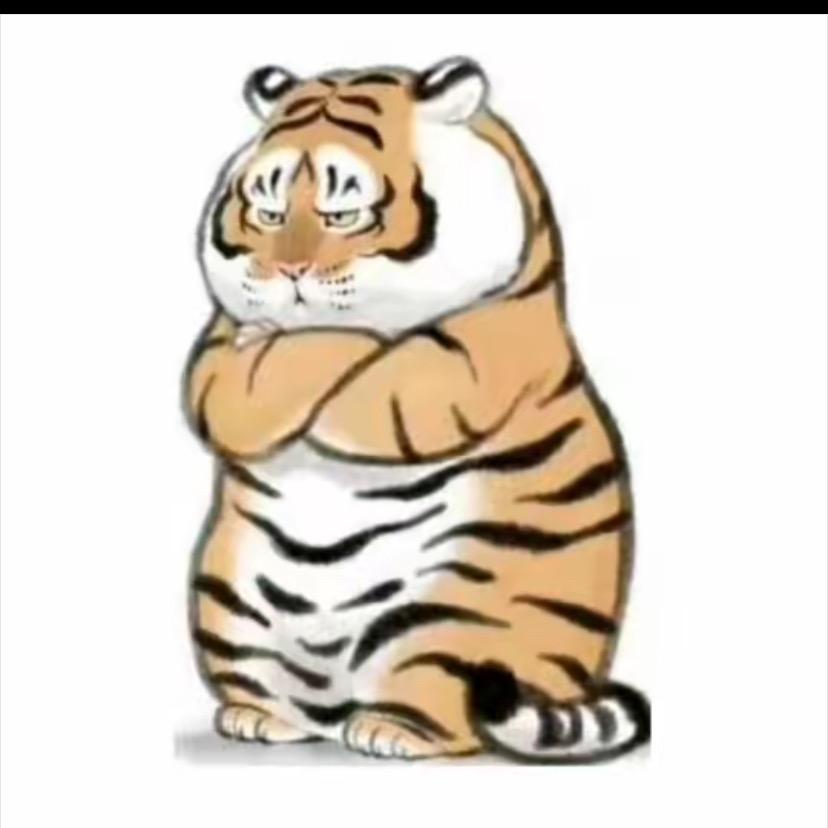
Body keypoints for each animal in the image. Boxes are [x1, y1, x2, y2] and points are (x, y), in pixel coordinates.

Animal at [184, 56, 650, 763]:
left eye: (344, 211)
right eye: (266, 208)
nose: (288, 271)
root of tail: (334, 709)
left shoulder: (478, 358)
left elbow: (348, 355)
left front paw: (312, 338)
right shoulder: (211, 350)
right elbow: (222, 388)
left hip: (459, 614)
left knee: (445, 708)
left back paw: (390, 732)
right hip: (224, 598)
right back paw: (257, 719)